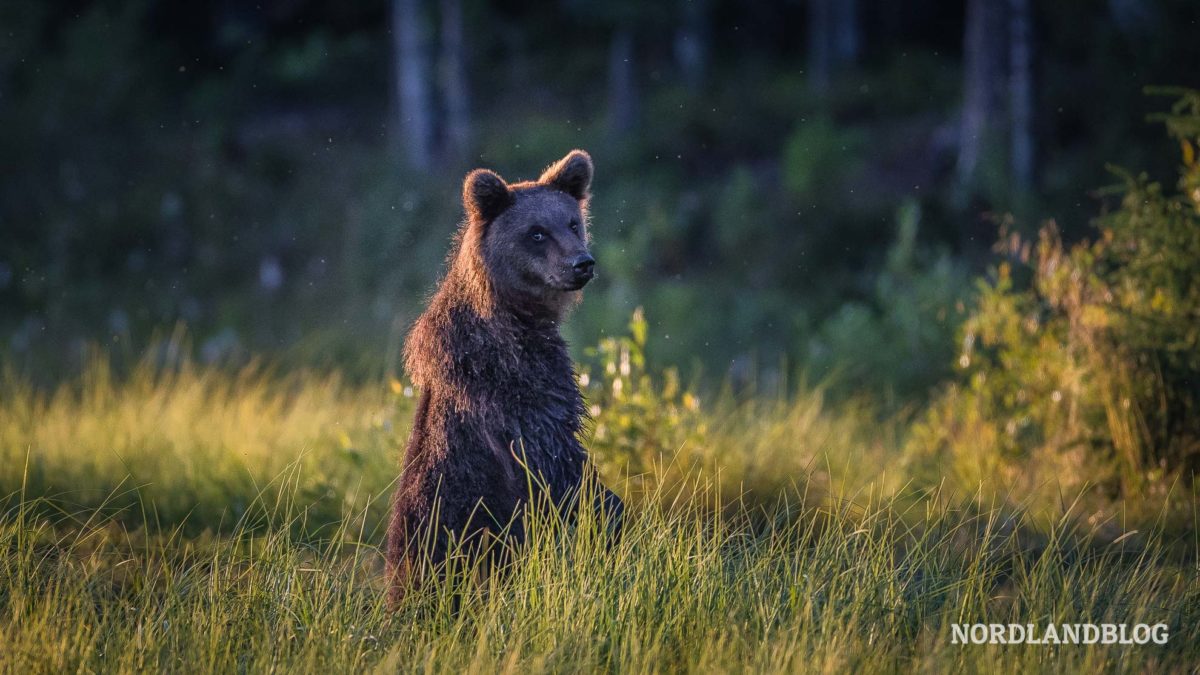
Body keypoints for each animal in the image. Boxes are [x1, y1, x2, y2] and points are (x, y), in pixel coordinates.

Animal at [386, 149, 628, 600]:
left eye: (573, 223)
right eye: (536, 233)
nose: (582, 263)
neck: (517, 314)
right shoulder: (514, 384)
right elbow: (555, 459)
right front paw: (615, 519)